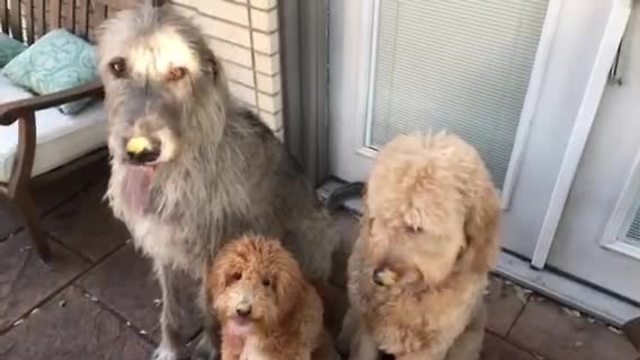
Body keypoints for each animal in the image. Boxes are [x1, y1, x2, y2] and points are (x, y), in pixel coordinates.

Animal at [338, 133, 502, 360]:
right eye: (383, 217)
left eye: (416, 227)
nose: (377, 277)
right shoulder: (367, 329)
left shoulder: (428, 349)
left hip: (467, 342)